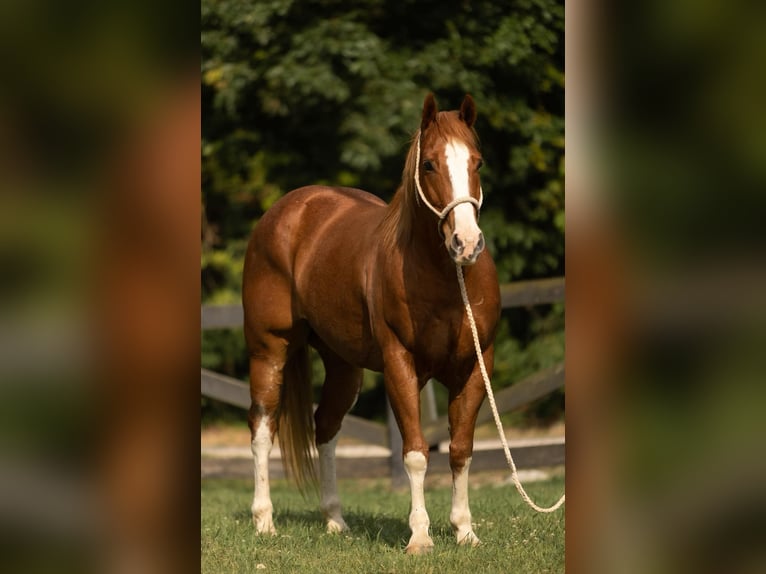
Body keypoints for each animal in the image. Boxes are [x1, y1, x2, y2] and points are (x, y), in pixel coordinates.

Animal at [243, 94, 500, 560]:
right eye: (429, 164)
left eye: (478, 162)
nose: (467, 244)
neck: (445, 277)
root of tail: (287, 210)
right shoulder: (400, 364)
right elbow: (415, 452)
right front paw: (420, 537)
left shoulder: (476, 365)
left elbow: (461, 450)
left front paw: (465, 531)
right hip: (268, 351)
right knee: (262, 428)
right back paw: (265, 521)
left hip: (344, 366)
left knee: (325, 427)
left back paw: (335, 520)